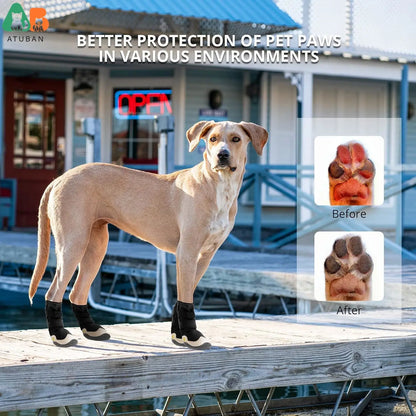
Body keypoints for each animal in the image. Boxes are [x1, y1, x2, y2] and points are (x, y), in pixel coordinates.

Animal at [29, 119, 270, 348]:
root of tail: (59, 179)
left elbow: (183, 296)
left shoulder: (204, 256)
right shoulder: (187, 252)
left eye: (236, 139)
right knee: (54, 292)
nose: (222, 155)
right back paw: (60, 336)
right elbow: (186, 299)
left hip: (96, 247)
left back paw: (92, 330)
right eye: (212, 139)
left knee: (76, 292)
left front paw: (179, 335)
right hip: (73, 243)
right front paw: (191, 336)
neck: (219, 186)